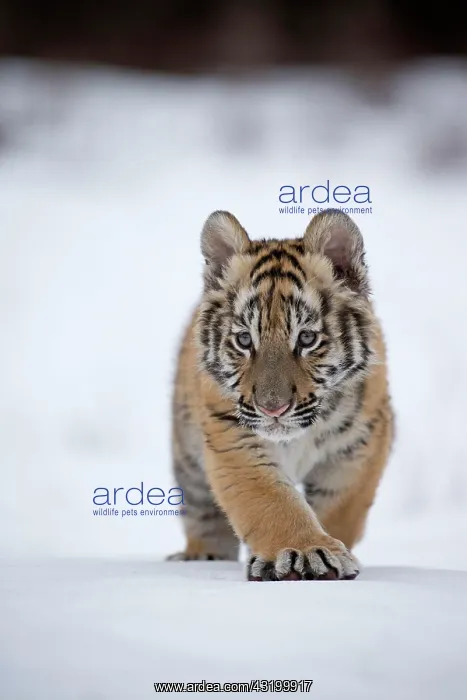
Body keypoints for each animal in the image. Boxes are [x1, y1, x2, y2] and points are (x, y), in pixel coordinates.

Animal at [168, 208, 394, 581]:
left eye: (307, 339)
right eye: (244, 340)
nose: (273, 409)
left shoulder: (360, 445)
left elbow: (339, 509)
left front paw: (331, 553)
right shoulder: (233, 437)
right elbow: (272, 502)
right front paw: (306, 552)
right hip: (188, 461)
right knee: (204, 518)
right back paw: (202, 557)